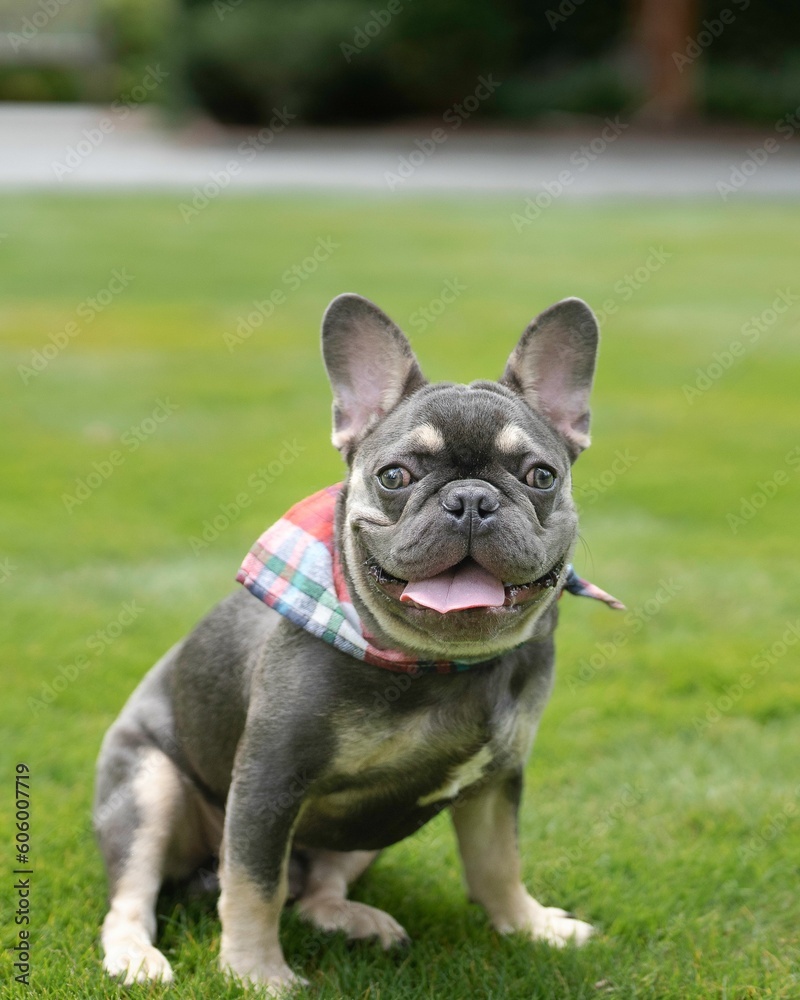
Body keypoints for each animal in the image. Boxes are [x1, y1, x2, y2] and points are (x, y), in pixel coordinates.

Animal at [95, 292, 620, 996]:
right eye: (394, 476)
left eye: (540, 475)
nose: (471, 499)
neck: (438, 663)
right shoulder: (268, 784)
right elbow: (252, 886)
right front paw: (256, 973)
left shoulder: (496, 779)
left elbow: (497, 861)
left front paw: (529, 925)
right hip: (146, 786)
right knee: (136, 893)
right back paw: (135, 955)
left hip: (366, 833)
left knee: (316, 888)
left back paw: (353, 919)